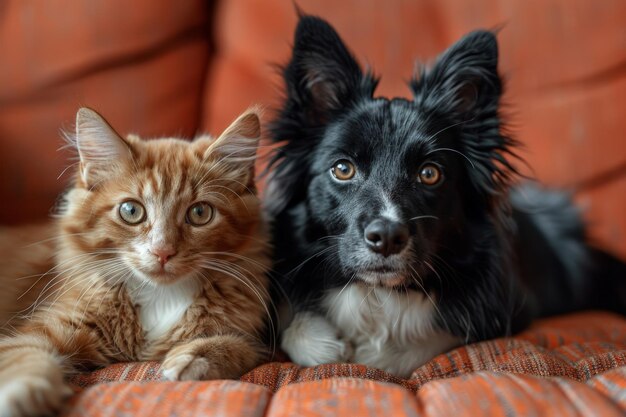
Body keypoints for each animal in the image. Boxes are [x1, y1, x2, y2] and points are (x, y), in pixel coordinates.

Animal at [0, 107, 270, 416]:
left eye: (200, 213)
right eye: (131, 211)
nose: (162, 251)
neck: (161, 296)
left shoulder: (254, 336)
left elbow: (240, 346)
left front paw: (193, 358)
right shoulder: (47, 327)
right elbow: (25, 356)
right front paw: (24, 395)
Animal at [264, 14, 624, 376]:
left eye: (429, 174)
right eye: (342, 169)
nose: (387, 237)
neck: (379, 293)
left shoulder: (508, 305)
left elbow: (422, 342)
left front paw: (371, 353)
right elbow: (297, 332)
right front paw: (326, 344)